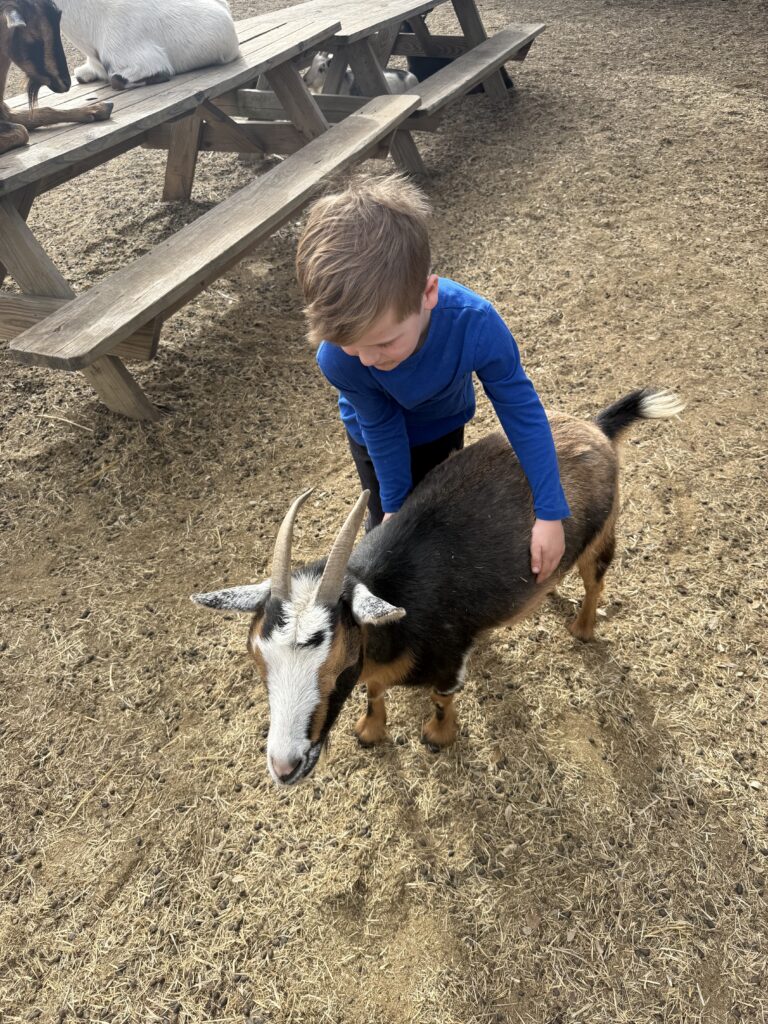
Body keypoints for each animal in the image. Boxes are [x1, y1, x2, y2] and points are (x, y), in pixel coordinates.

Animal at [0, 0, 112, 156]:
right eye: (34, 37)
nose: (66, 83)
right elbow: (22, 131)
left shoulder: (6, 113)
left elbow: (43, 112)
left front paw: (98, 109)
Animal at [192, 389, 684, 787]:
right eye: (259, 662)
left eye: (338, 665)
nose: (284, 767)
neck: (399, 593)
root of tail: (596, 428)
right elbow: (375, 690)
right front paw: (370, 731)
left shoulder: (451, 654)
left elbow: (440, 697)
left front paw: (438, 737)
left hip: (603, 531)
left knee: (596, 578)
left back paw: (581, 629)